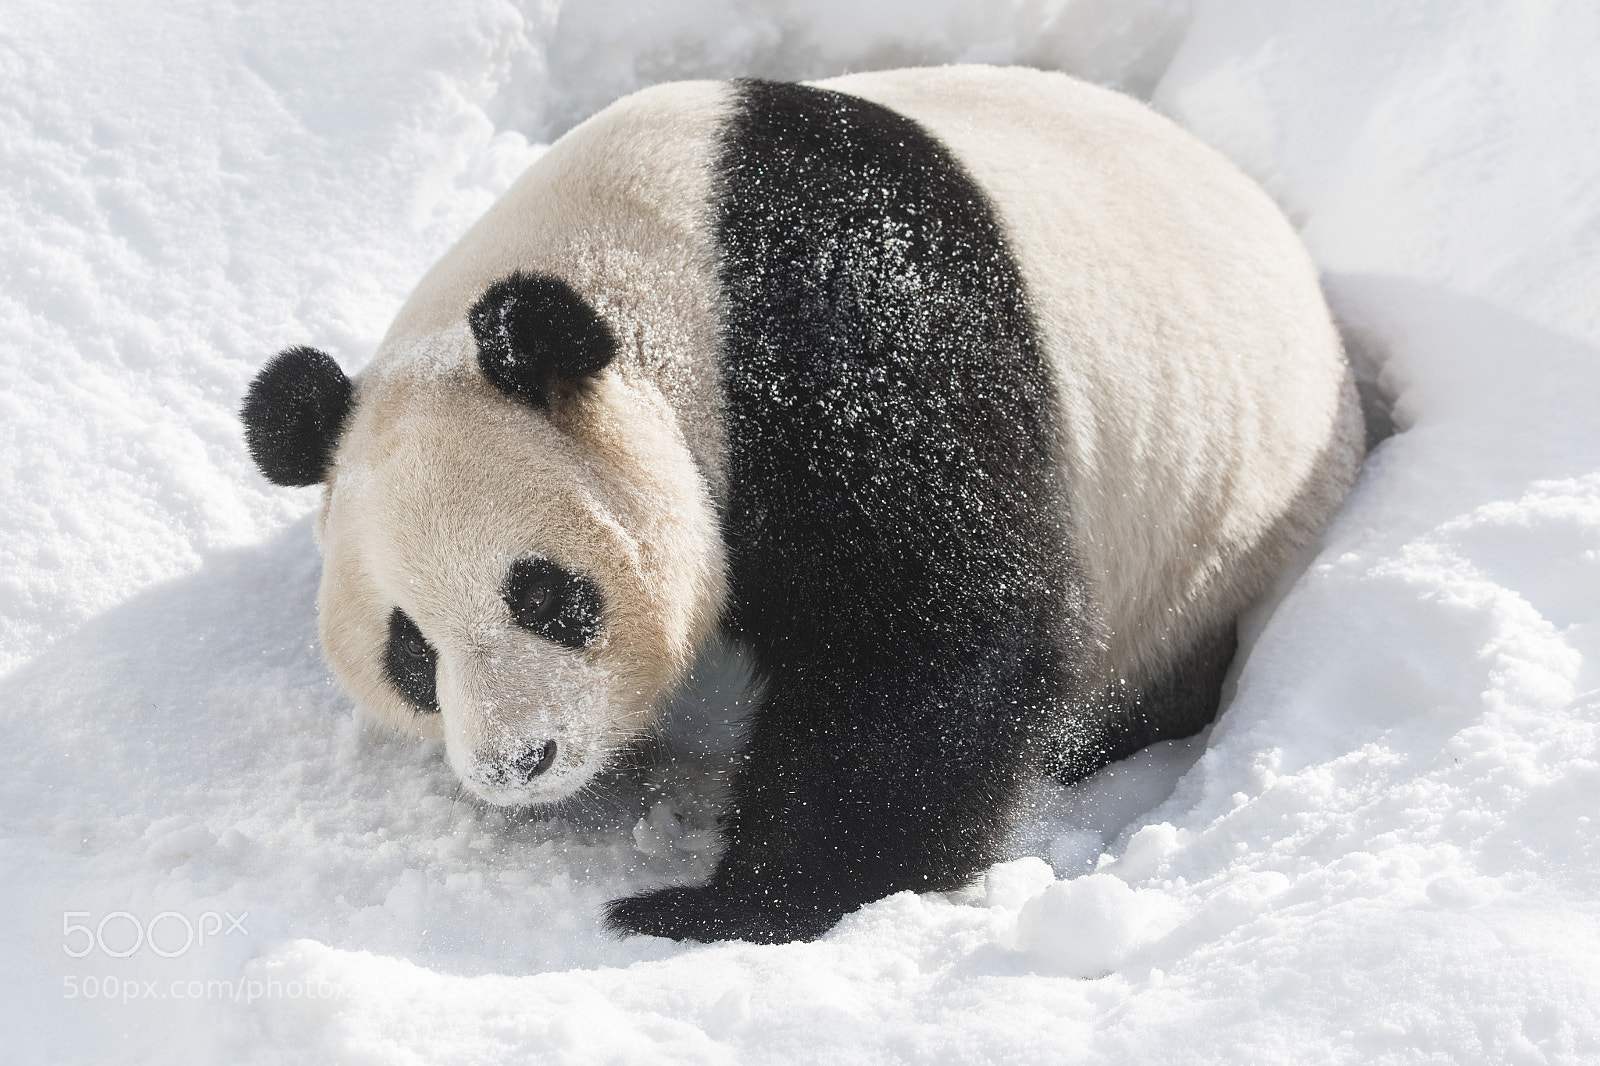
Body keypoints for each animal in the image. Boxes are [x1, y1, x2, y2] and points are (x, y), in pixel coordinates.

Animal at [242, 66, 1363, 944]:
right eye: (410, 651)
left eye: (546, 595)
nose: (520, 762)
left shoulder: (845, 339)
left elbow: (932, 634)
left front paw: (728, 905)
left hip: (1215, 542)